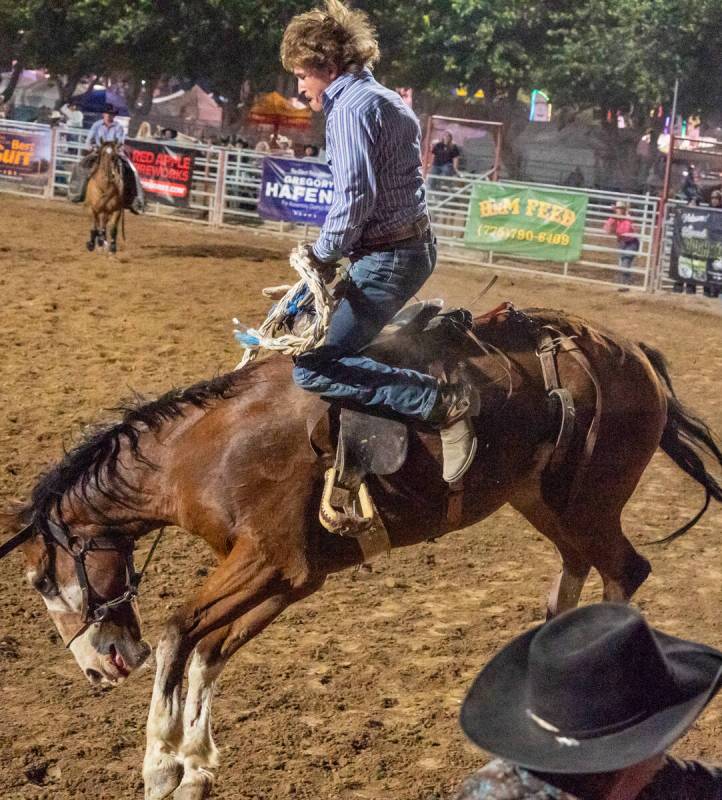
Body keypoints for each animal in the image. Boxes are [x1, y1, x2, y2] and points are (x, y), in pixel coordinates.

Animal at [1, 306, 720, 800]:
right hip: (544, 501)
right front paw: (195, 766)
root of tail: (631, 352)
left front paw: (159, 763)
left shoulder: (270, 561)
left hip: (590, 503)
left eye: (40, 581)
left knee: (625, 569)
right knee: (580, 567)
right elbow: (209, 649)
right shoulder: (292, 577)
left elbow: (181, 633)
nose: (102, 666)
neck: (207, 449)